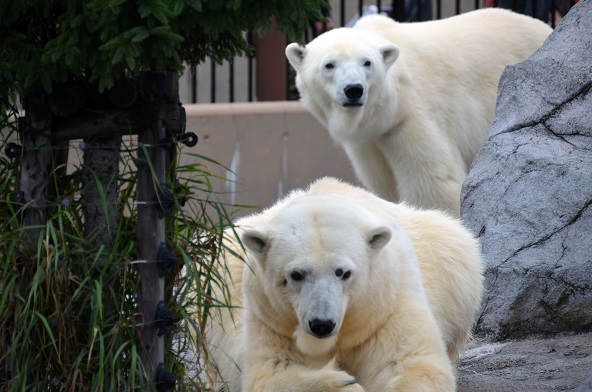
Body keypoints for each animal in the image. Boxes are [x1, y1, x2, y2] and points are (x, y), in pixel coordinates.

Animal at [202, 178, 480, 392]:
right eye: (296, 275)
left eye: (343, 273)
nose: (321, 324)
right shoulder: (272, 318)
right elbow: (271, 374)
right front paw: (342, 382)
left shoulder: (386, 304)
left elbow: (409, 363)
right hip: (221, 269)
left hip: (451, 264)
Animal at [284, 8, 552, 217]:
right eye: (329, 65)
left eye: (367, 63)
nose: (354, 90)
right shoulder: (369, 143)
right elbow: (384, 185)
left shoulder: (410, 117)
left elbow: (434, 185)